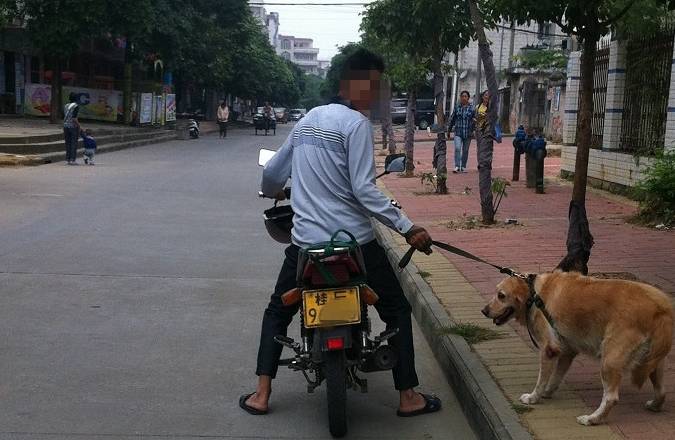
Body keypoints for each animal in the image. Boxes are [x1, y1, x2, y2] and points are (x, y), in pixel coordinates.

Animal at [484, 272, 672, 426]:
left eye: (501, 295)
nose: (484, 311)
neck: (534, 294)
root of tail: (660, 309)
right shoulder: (566, 352)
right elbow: (556, 377)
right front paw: (547, 392)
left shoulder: (548, 350)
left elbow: (541, 380)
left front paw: (533, 397)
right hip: (653, 360)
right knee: (662, 390)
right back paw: (655, 406)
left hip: (610, 360)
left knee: (611, 398)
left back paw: (592, 419)